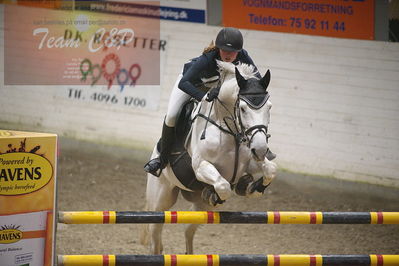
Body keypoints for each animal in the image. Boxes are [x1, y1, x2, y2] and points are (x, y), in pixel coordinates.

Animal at [141, 60, 278, 254]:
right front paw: (216, 196)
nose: (260, 149)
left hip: (199, 206)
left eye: (269, 107)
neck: (230, 131)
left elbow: (271, 169)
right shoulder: (200, 167)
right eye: (243, 109)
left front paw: (252, 187)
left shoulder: (250, 162)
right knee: (156, 236)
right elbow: (223, 185)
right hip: (161, 198)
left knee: (188, 230)